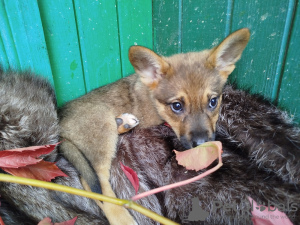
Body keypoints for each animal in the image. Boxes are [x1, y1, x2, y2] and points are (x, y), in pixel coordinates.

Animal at [0, 28, 298, 225]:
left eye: (213, 101)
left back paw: (125, 121)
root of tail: (60, 124)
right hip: (101, 134)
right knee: (98, 186)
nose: (203, 146)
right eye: (177, 106)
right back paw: (122, 217)